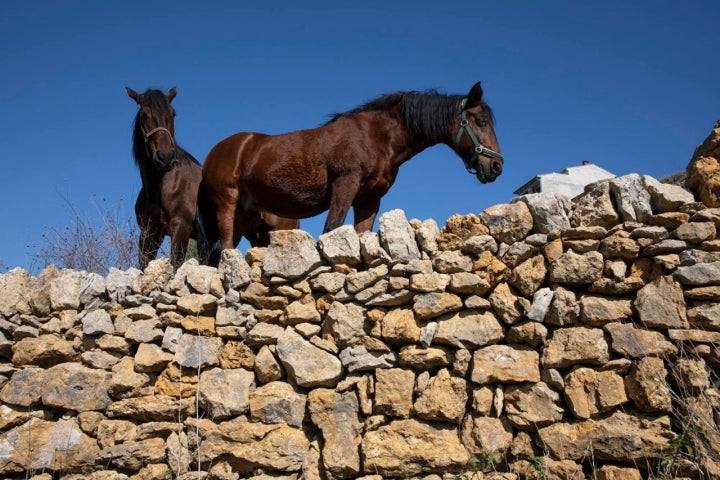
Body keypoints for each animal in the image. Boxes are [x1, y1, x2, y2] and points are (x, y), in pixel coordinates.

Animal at [200, 80, 504, 260]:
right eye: (480, 121)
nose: (496, 166)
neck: (376, 137)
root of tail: (216, 151)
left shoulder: (369, 199)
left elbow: (361, 235)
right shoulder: (344, 185)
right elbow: (332, 228)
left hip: (245, 214)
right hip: (227, 202)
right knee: (225, 246)